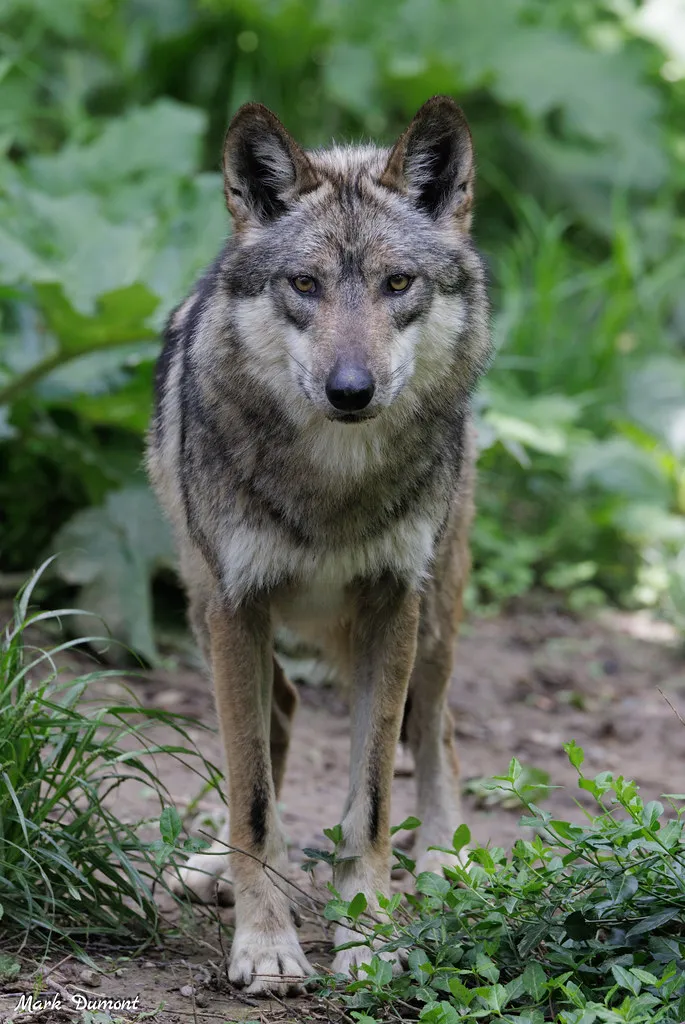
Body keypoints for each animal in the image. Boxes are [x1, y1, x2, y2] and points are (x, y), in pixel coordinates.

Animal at [147, 95, 491, 995]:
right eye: (304, 285)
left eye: (396, 284)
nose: (350, 390)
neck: (333, 486)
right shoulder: (237, 608)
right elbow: (253, 797)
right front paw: (266, 945)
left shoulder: (391, 606)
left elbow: (370, 799)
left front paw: (368, 935)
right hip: (202, 606)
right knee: (278, 722)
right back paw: (212, 865)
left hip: (435, 615)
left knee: (437, 730)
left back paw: (443, 859)